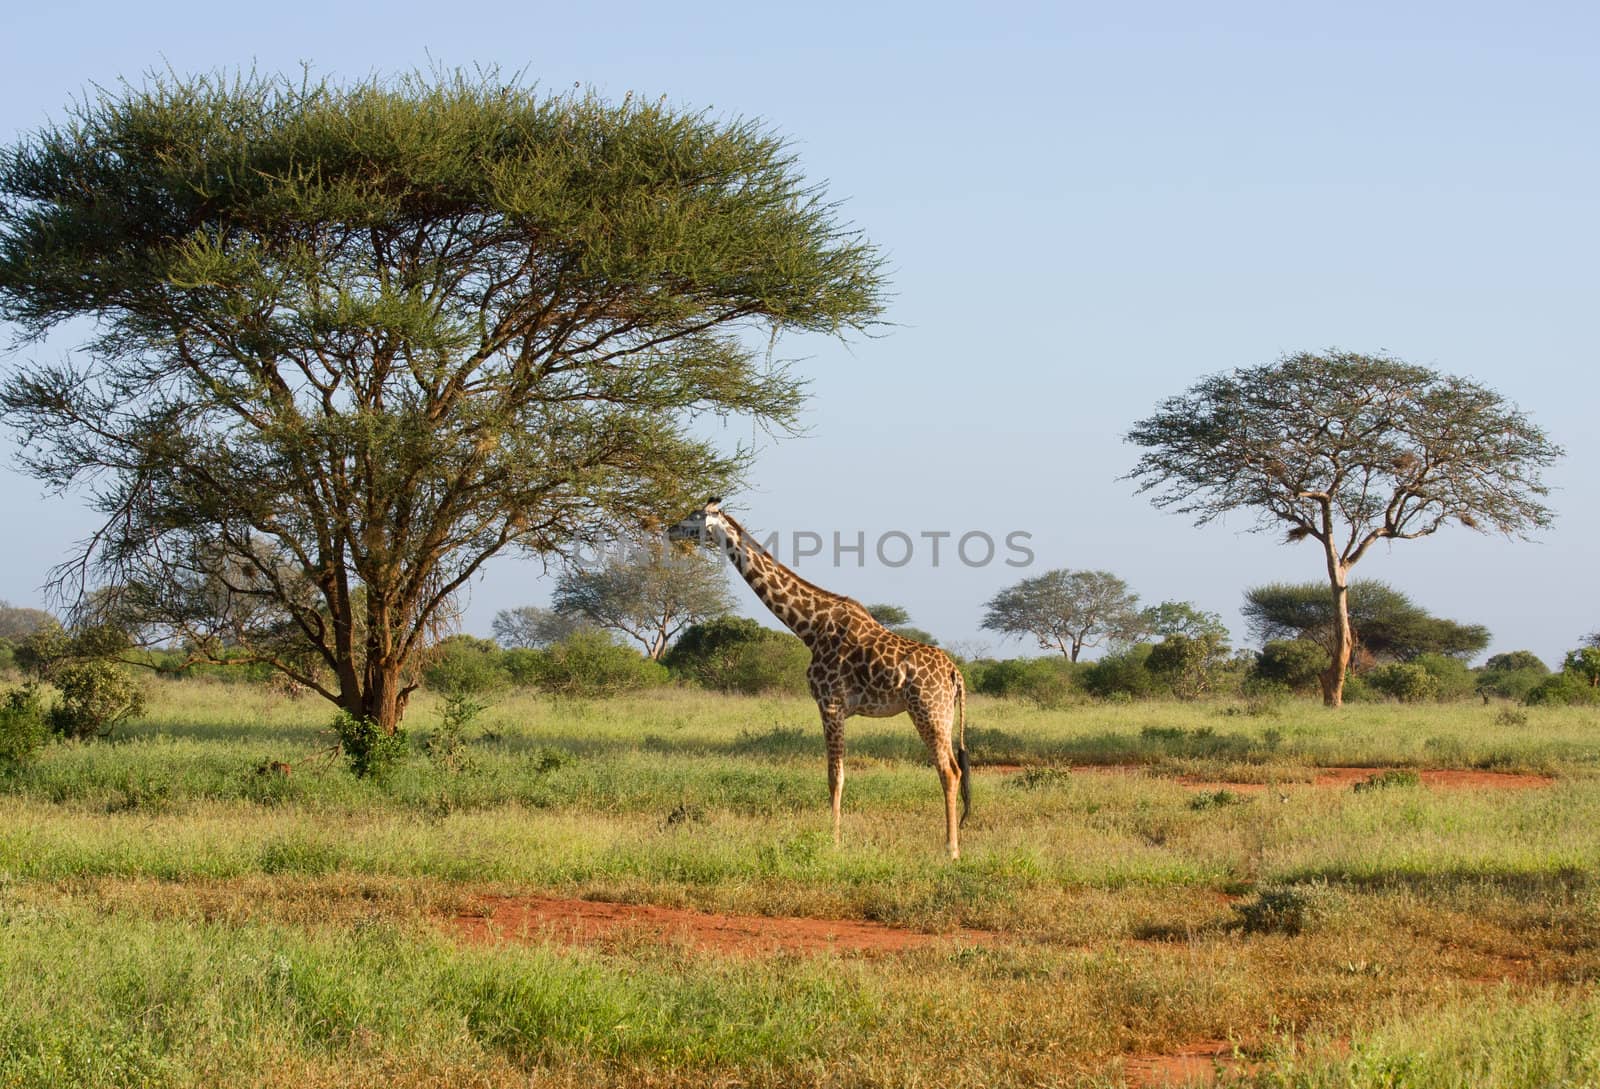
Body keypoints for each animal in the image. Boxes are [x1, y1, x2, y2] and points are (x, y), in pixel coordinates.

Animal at [665, 498, 966, 857]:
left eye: (694, 517)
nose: (669, 529)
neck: (810, 627)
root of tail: (955, 674)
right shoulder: (834, 707)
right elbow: (837, 774)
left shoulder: (830, 703)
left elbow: (835, 776)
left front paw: (833, 842)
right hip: (941, 714)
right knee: (956, 768)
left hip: (928, 711)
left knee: (948, 771)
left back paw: (951, 849)